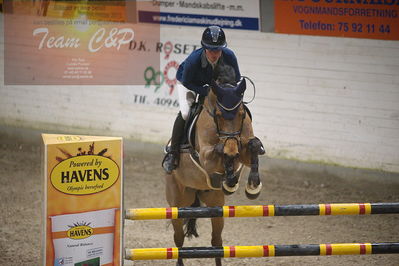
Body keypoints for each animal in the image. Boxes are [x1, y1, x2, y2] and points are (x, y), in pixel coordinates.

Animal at [166, 75, 266, 266]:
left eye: (241, 114)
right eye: (218, 115)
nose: (233, 150)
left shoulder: (243, 149)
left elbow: (254, 145)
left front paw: (252, 186)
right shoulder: (206, 157)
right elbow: (220, 150)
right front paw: (230, 178)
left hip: (216, 205)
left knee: (217, 242)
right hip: (178, 203)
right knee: (178, 240)